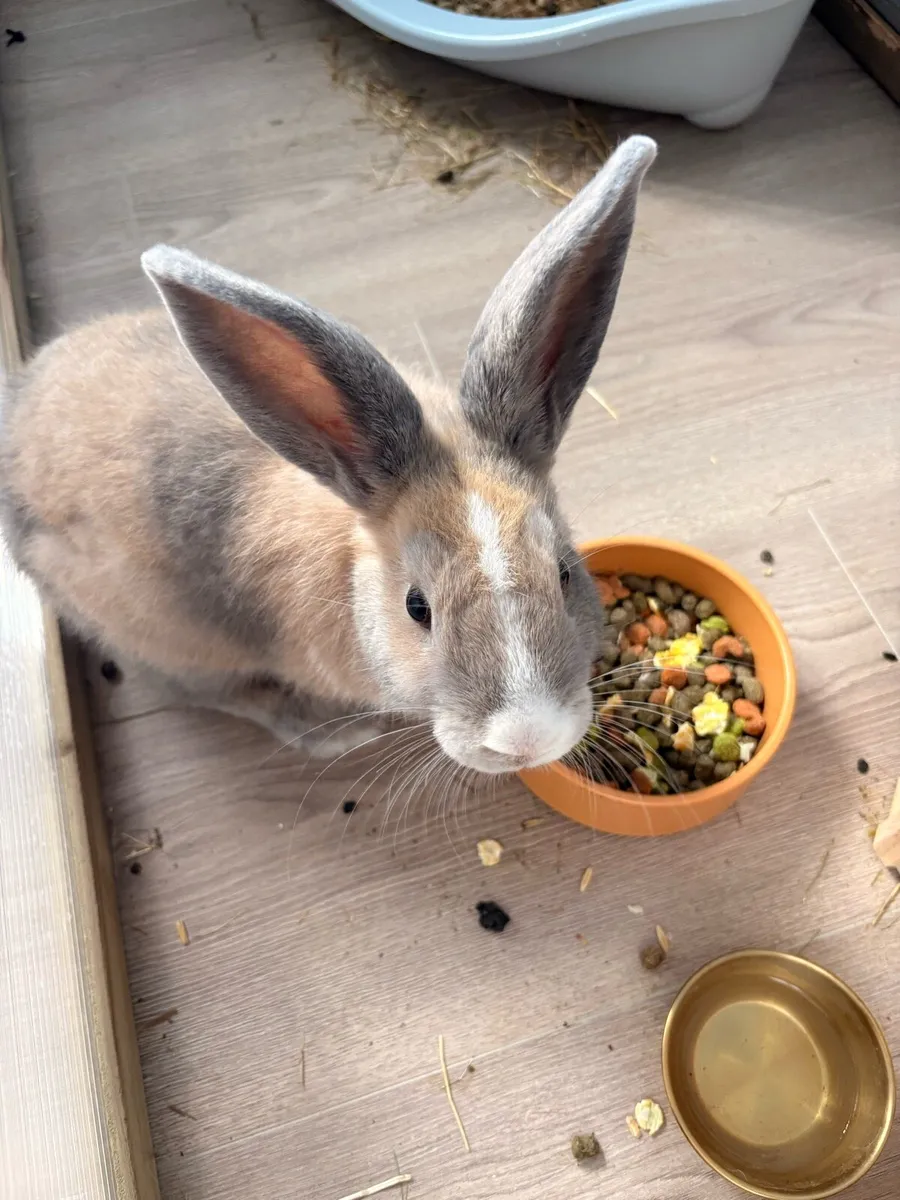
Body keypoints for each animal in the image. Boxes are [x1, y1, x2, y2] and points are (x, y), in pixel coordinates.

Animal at [0, 135, 656, 773]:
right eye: (417, 607)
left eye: (565, 573)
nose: (527, 740)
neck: (350, 565)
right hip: (173, 644)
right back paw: (330, 734)